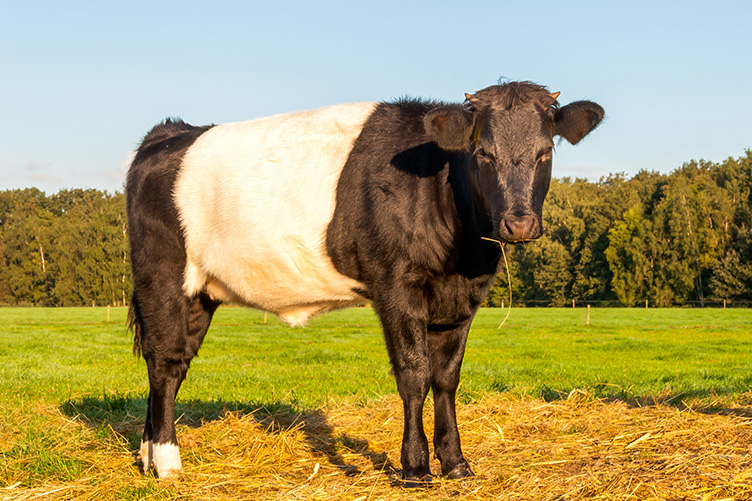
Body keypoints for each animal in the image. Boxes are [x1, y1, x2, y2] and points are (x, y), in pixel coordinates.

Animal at [126, 81, 604, 486]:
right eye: (482, 152)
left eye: (545, 152)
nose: (518, 223)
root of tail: (169, 134)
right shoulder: (397, 286)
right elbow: (414, 373)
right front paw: (415, 467)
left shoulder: (460, 299)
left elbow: (447, 378)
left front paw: (456, 463)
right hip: (162, 278)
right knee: (164, 362)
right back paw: (167, 462)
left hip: (200, 294)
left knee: (173, 365)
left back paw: (148, 455)